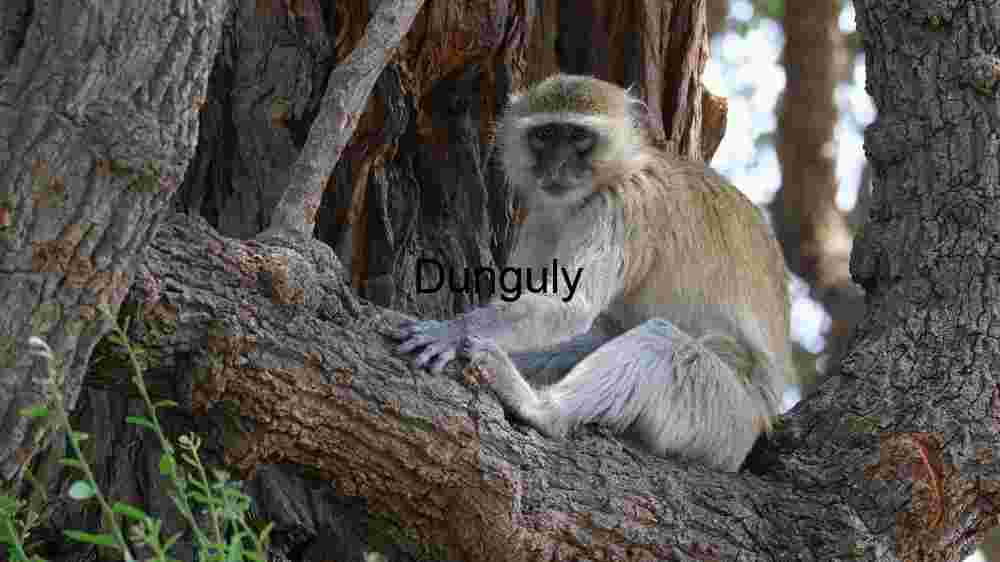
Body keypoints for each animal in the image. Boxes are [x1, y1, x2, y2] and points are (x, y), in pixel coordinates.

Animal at [395, 74, 789, 472]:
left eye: (577, 136)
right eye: (544, 135)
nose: (554, 168)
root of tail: (762, 422)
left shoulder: (621, 206)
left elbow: (573, 306)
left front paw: (452, 331)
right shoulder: (543, 215)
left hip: (726, 419)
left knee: (666, 347)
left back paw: (541, 409)